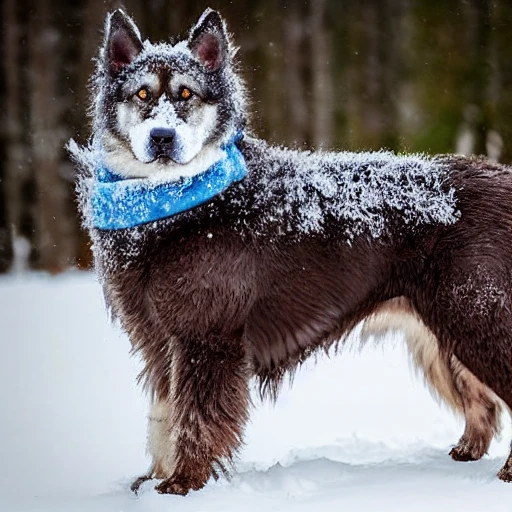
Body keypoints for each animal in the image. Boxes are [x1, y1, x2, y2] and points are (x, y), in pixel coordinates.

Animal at [70, 9, 512, 496]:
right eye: (142, 94)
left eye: (186, 93)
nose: (162, 137)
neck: (178, 202)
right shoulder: (157, 340)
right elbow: (163, 417)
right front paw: (154, 480)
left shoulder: (206, 339)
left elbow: (195, 421)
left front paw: (183, 484)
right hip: (442, 335)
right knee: (482, 401)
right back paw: (468, 449)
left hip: (476, 318)